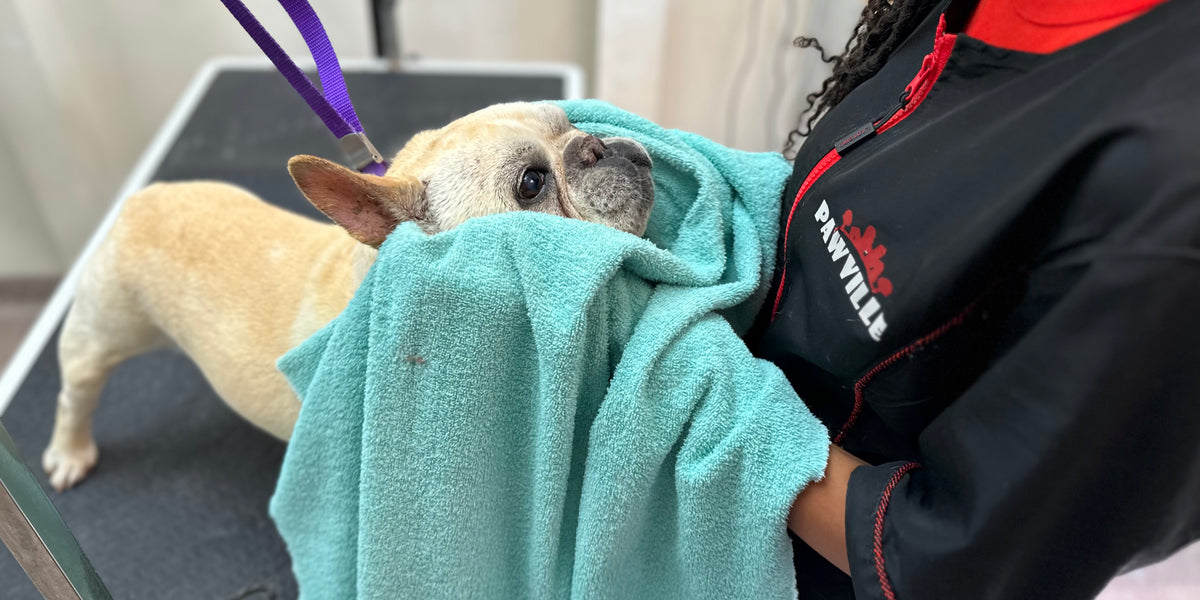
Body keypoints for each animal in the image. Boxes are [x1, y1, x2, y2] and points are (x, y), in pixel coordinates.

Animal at [43, 102, 655, 491]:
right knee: (76, 394)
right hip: (99, 333)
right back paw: (69, 453)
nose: (598, 146)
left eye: (569, 124)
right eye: (531, 184)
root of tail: (140, 199)